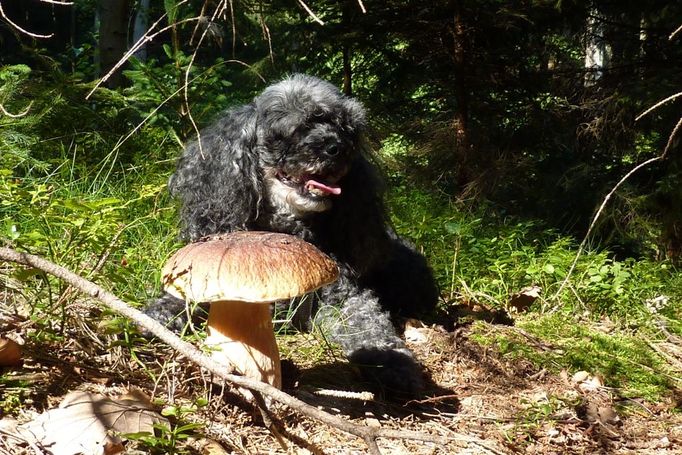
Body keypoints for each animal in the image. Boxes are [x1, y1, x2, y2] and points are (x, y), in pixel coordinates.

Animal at [145, 73, 438, 398]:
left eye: (347, 131)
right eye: (296, 127)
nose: (338, 148)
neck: (290, 227)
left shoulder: (346, 298)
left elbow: (369, 326)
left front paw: (394, 365)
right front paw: (157, 315)